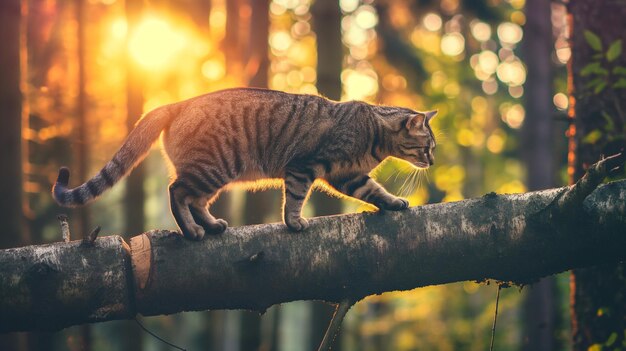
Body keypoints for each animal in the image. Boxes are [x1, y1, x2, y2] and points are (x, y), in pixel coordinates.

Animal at [52, 89, 434, 241]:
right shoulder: (304, 166)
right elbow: (295, 199)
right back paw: (192, 231)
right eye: (428, 146)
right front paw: (294, 222)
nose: (432, 159)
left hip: (214, 173)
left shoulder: (348, 176)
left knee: (194, 199)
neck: (373, 135)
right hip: (213, 168)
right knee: (177, 192)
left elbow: (375, 190)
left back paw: (211, 225)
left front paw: (394, 202)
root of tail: (178, 102)